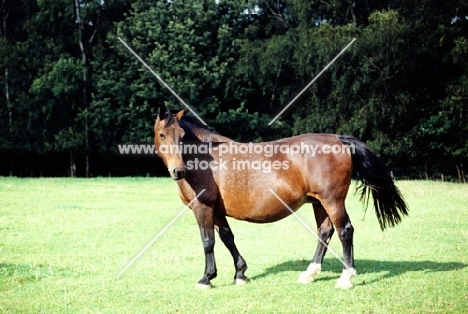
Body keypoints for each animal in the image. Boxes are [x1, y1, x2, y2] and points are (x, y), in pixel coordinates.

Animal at [154, 106, 410, 290]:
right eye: (162, 134)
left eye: (182, 136)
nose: (178, 171)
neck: (204, 159)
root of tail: (339, 139)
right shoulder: (216, 211)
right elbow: (228, 238)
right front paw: (240, 273)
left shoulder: (203, 208)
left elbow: (208, 242)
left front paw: (207, 278)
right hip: (320, 203)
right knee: (325, 232)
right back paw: (310, 273)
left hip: (333, 201)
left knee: (345, 231)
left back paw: (345, 278)